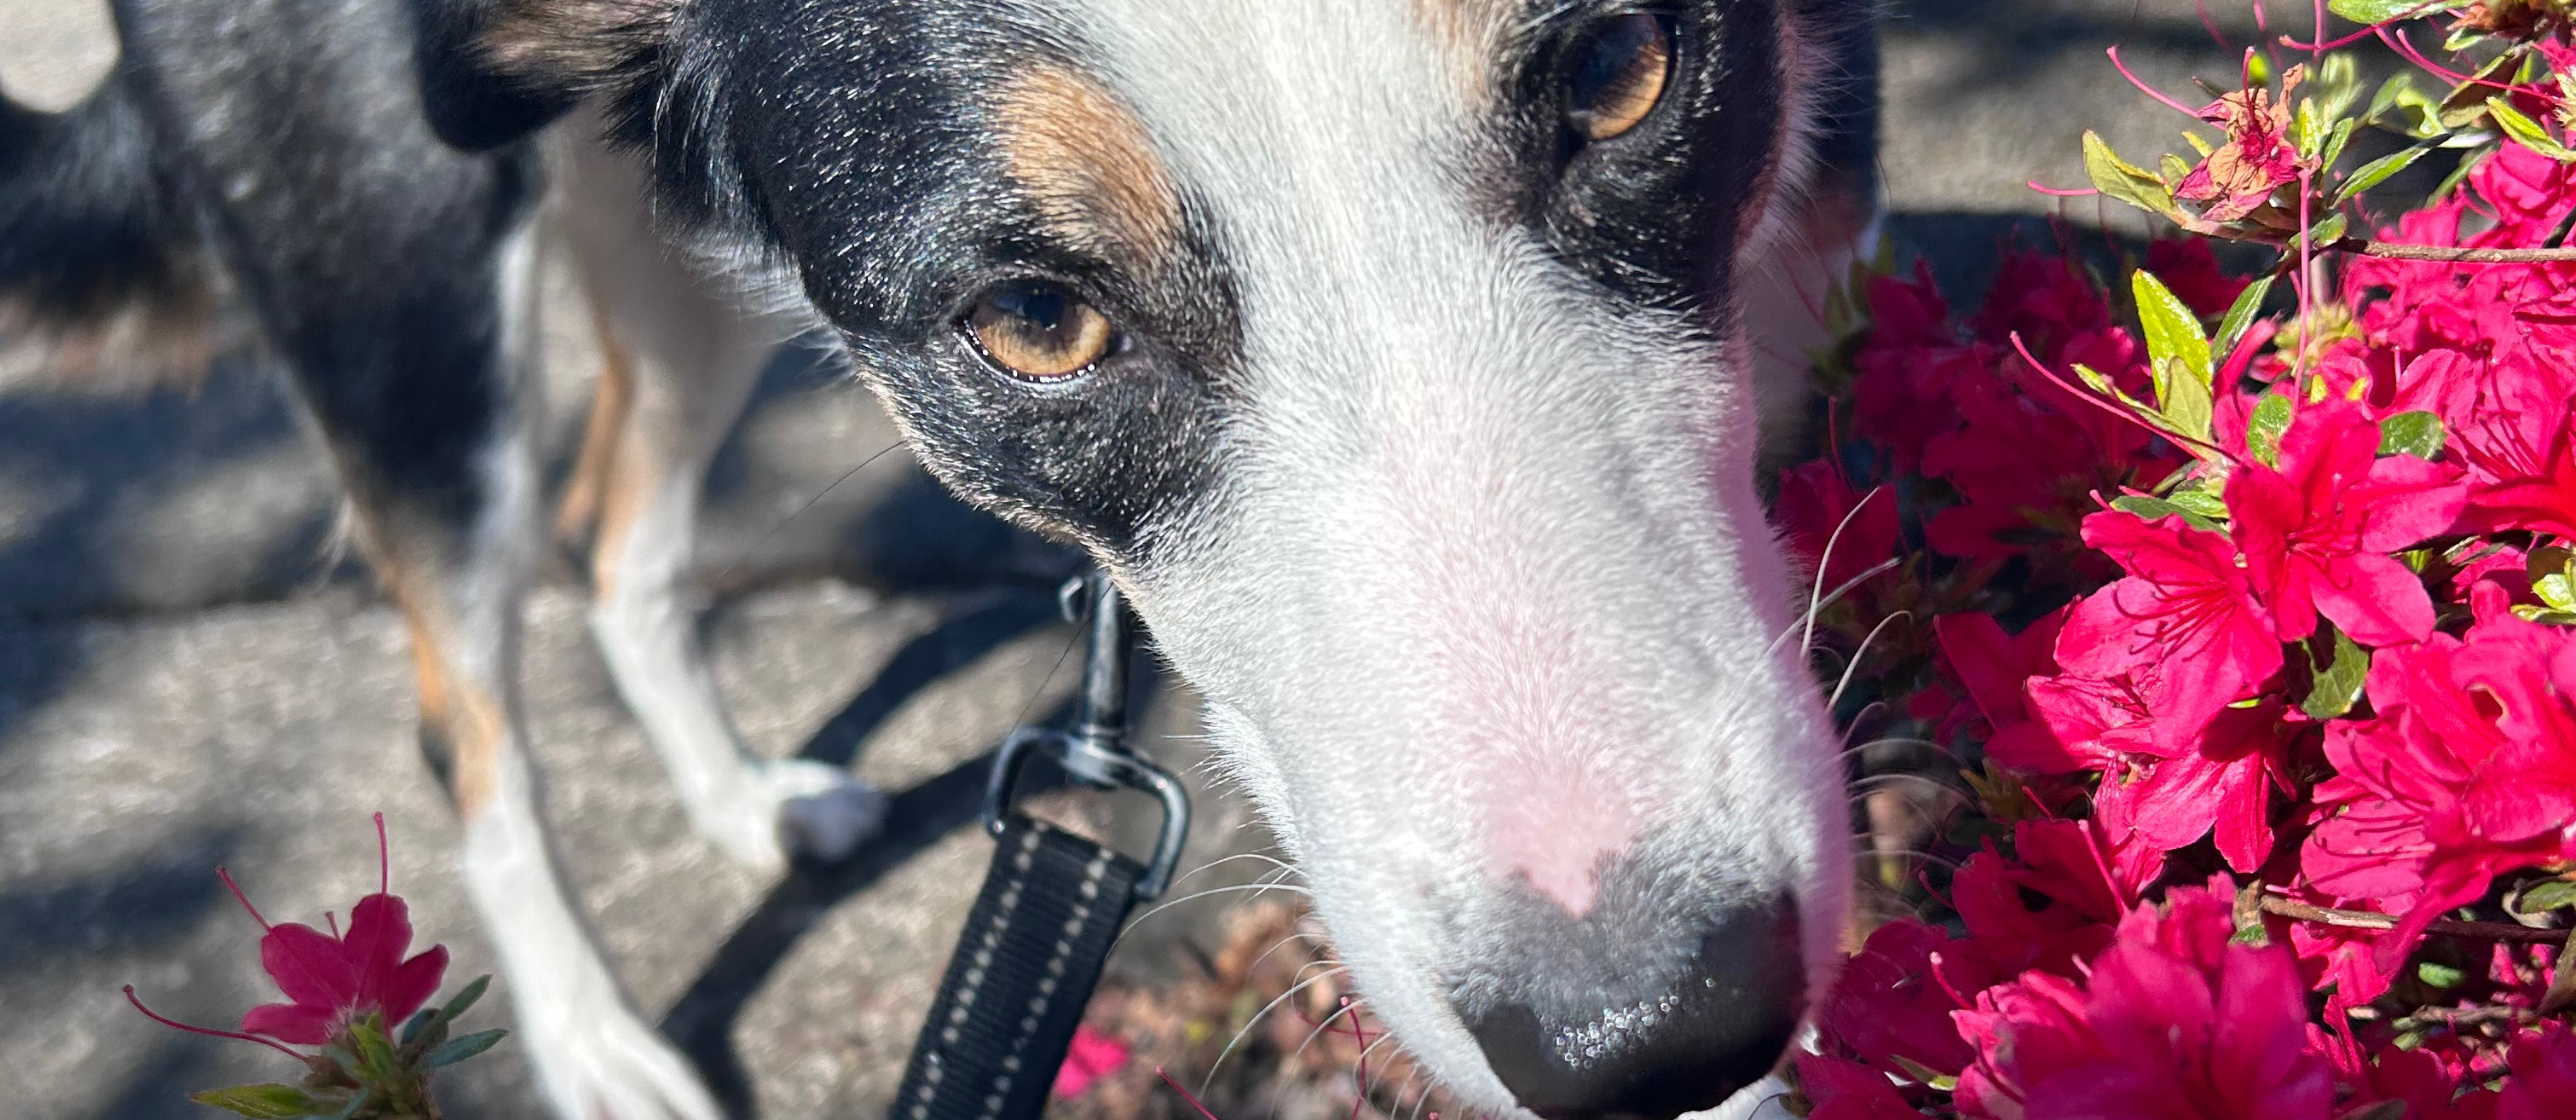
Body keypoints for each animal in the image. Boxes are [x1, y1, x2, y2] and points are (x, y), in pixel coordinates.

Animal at [9, 4, 1886, 1117]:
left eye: (1615, 72)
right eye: (1037, 319)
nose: (1651, 1029)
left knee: (615, 535)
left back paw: (741, 804)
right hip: (393, 273)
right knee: (464, 717)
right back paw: (592, 1038)